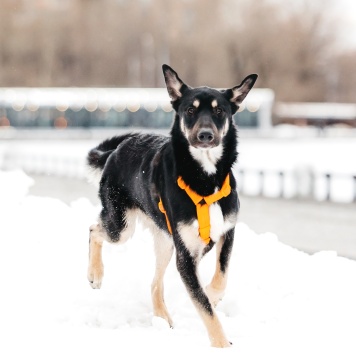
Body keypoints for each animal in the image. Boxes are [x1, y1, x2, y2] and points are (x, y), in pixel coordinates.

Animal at [87, 65, 258, 350]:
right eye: (190, 110)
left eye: (219, 111)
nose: (205, 136)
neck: (204, 179)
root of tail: (117, 149)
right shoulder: (186, 256)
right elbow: (205, 308)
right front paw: (221, 344)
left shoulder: (226, 232)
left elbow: (221, 277)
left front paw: (212, 294)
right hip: (121, 227)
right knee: (94, 229)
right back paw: (95, 274)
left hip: (166, 242)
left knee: (155, 283)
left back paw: (162, 318)